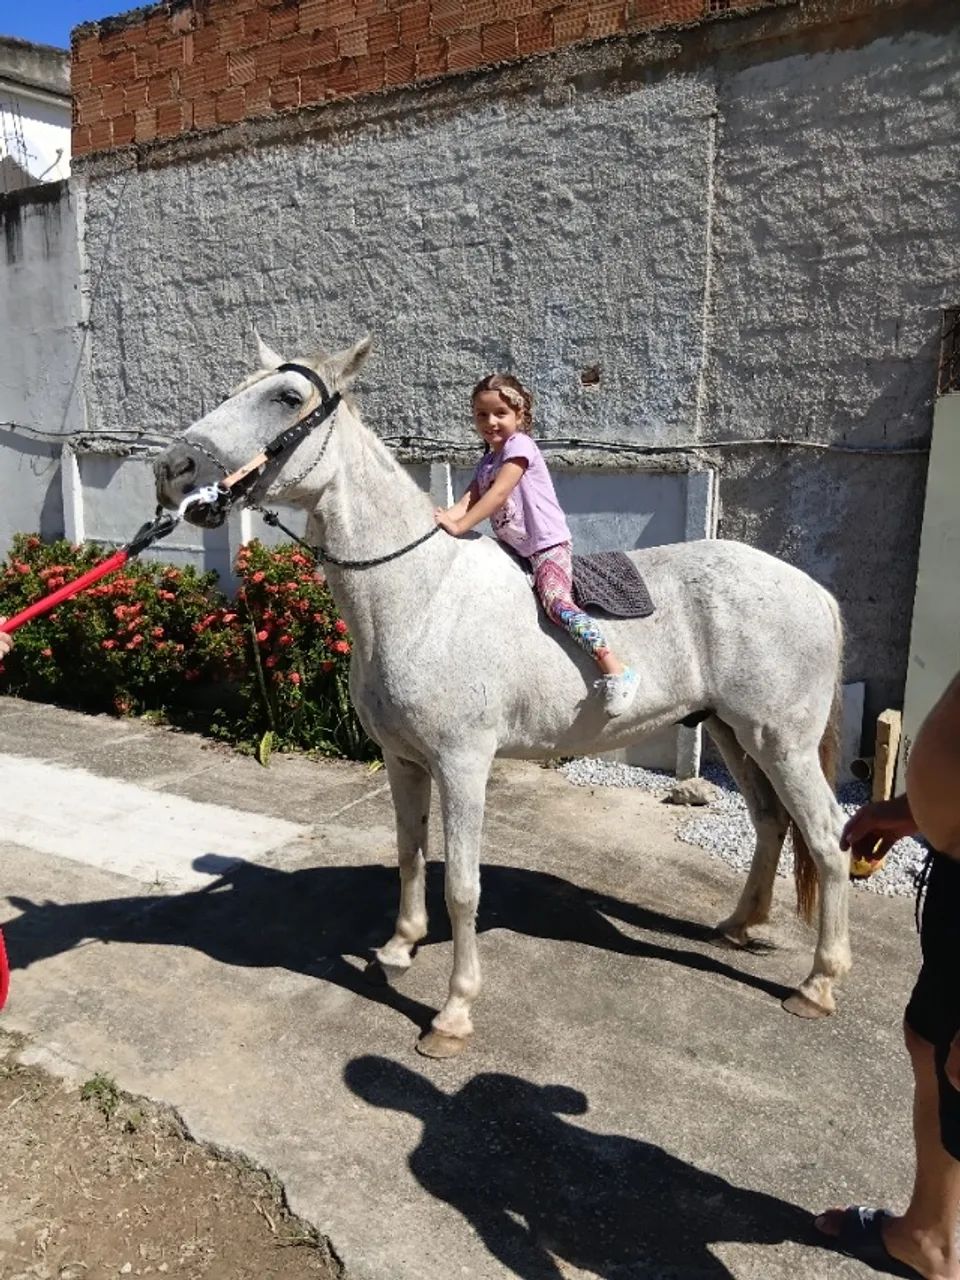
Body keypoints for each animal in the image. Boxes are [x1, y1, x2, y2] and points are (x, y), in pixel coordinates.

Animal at [154, 333, 850, 1059]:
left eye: (288, 397)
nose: (173, 468)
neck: (422, 593)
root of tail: (814, 591)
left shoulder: (462, 765)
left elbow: (462, 886)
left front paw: (453, 1014)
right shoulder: (403, 761)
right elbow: (409, 853)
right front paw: (399, 948)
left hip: (782, 742)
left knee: (827, 840)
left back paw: (817, 985)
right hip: (732, 733)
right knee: (772, 824)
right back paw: (739, 926)